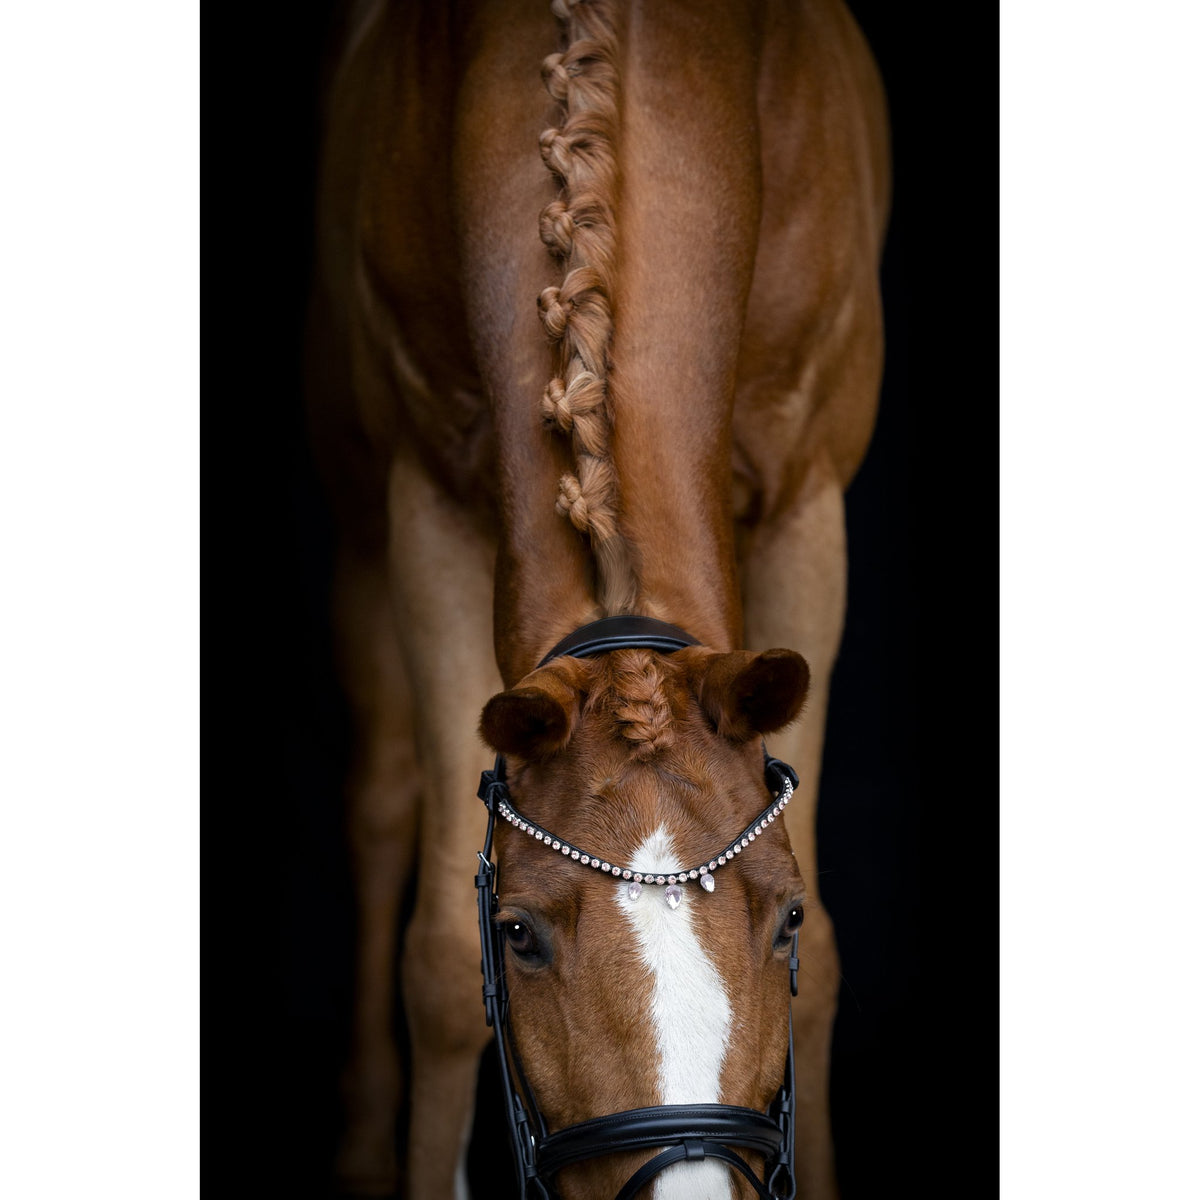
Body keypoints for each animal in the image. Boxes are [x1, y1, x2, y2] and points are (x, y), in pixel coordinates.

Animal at [305, 1, 889, 1196]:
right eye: (521, 934)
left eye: (785, 914)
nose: (687, 1181)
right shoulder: (429, 510)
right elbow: (441, 959)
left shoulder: (810, 507)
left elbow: (830, 965)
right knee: (383, 803)